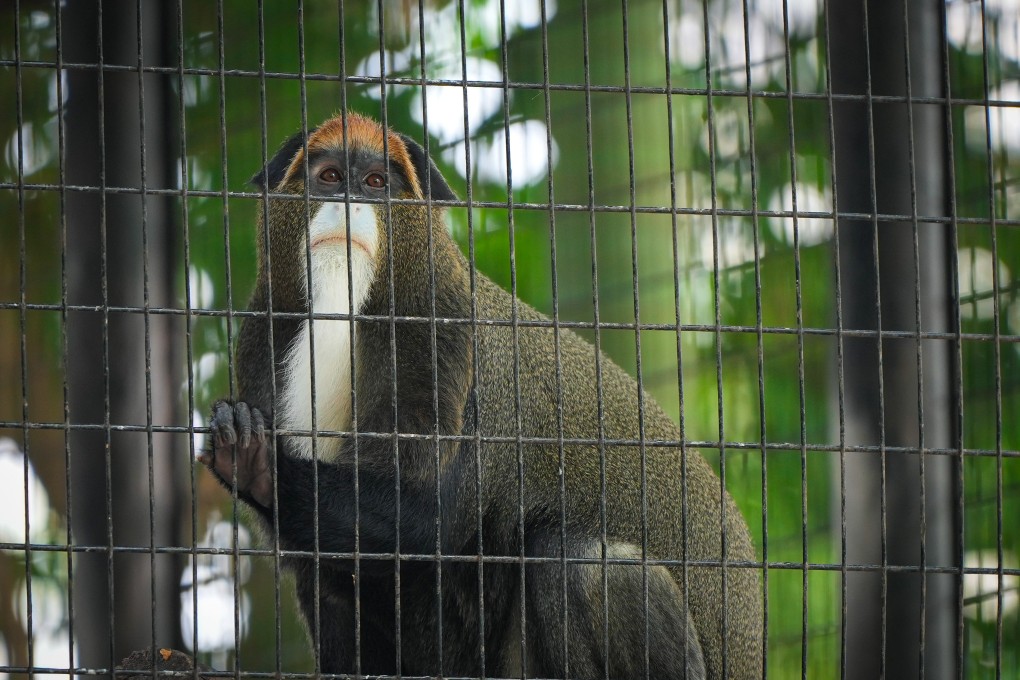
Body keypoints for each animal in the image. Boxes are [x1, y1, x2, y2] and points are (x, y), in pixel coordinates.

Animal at [198, 109, 762, 676]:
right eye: (331, 177)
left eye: (376, 183)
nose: (348, 203)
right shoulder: (262, 332)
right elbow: (325, 566)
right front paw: (244, 449)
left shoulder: (443, 327)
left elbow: (422, 517)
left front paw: (259, 462)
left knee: (582, 564)